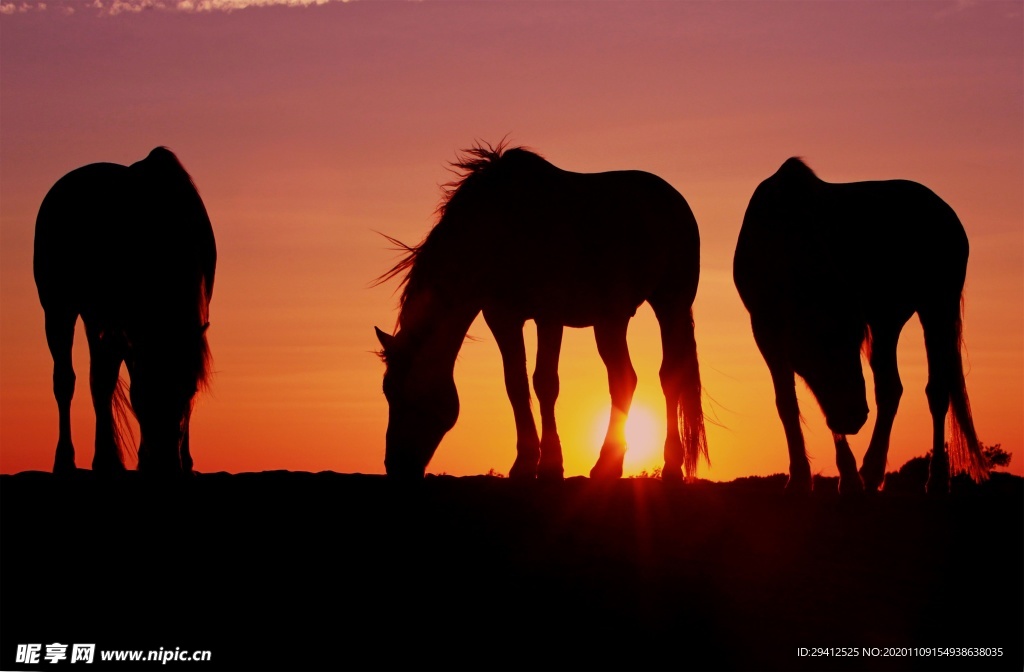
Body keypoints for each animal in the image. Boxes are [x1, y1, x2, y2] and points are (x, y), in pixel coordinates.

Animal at [35, 147, 216, 473]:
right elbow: (113, 382)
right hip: (59, 310)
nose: (167, 465)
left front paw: (183, 460)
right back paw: (70, 460)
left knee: (98, 379)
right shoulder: (124, 328)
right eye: (144, 394)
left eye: (189, 392)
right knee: (68, 381)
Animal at [374, 141, 704, 479]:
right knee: (623, 379)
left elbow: (545, 382)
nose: (395, 465)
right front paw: (523, 463)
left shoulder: (549, 315)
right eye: (387, 392)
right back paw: (607, 466)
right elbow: (516, 385)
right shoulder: (502, 318)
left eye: (402, 395)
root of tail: (673, 198)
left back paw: (671, 466)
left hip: (671, 305)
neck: (505, 228)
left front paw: (550, 465)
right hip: (610, 320)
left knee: (670, 376)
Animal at [733, 157, 987, 493]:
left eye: (852, 340)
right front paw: (804, 478)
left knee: (936, 390)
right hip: (887, 320)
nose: (854, 418)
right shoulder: (766, 330)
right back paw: (873, 472)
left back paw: (935, 478)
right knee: (890, 388)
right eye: (819, 346)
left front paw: (846, 476)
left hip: (936, 308)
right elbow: (789, 402)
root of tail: (944, 211)